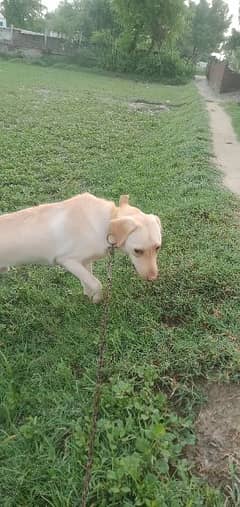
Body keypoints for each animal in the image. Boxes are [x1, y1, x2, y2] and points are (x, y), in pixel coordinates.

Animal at [0, 193, 162, 306]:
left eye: (157, 247)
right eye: (137, 251)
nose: (153, 278)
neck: (106, 222)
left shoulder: (85, 261)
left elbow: (88, 281)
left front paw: (88, 296)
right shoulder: (67, 261)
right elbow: (97, 283)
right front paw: (97, 299)